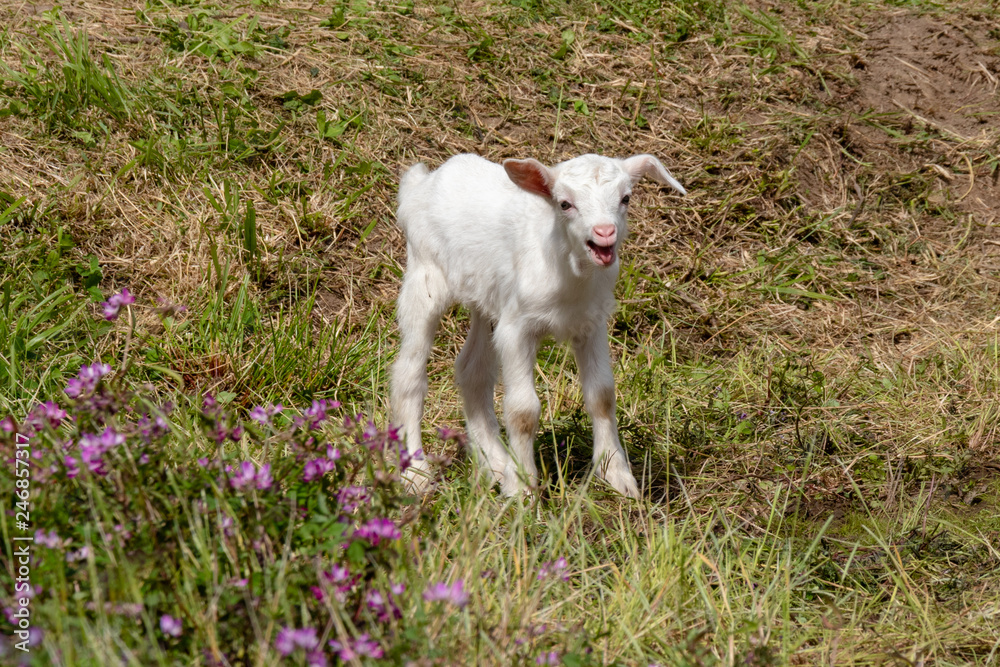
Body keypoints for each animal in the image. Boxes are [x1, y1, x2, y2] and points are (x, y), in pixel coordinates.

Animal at [390, 153, 685, 498]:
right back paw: (416, 473)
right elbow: (523, 411)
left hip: (486, 297)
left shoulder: (592, 323)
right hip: (425, 275)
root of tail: (421, 182)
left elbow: (602, 396)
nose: (604, 232)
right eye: (565, 204)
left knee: (473, 371)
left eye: (626, 198)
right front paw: (522, 489)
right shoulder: (517, 329)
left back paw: (497, 464)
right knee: (409, 374)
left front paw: (617, 475)